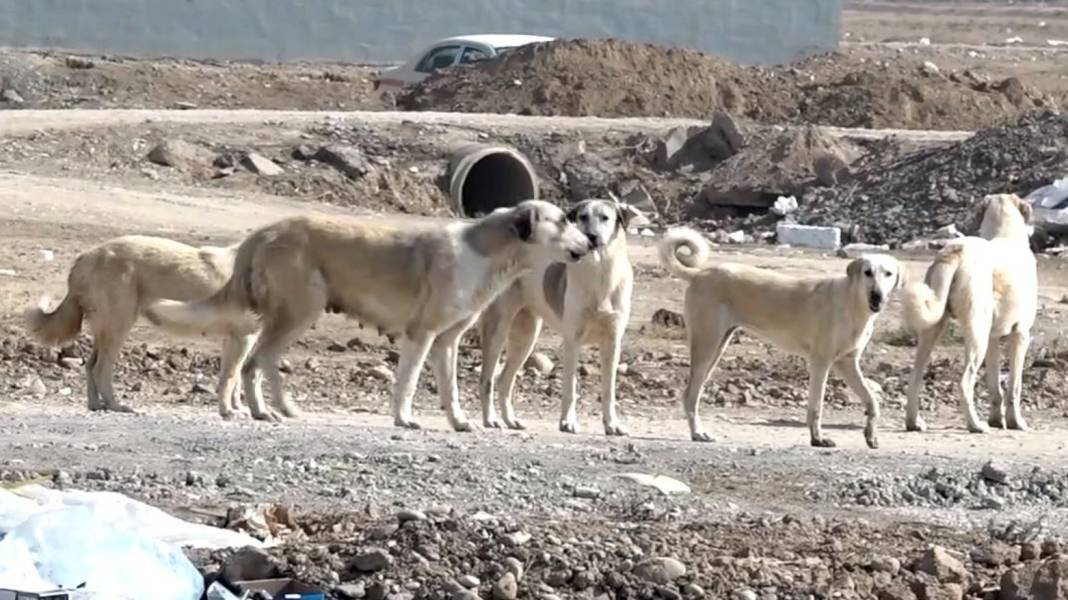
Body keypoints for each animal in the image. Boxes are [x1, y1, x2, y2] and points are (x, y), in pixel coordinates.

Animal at [24, 233, 257, 416]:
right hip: (119, 326)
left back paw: (96, 405)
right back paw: (116, 406)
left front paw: (237, 408)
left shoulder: (236, 339)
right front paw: (227, 411)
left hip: (107, 328)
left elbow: (235, 378)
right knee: (101, 369)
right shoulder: (243, 338)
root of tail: (85, 258)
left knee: (90, 365)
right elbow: (230, 377)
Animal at [144, 202, 593, 427]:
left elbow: (450, 388)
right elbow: (407, 383)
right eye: (562, 220)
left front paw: (460, 421)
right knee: (256, 363)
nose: (590, 242)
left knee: (264, 362)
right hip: (298, 311)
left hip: (293, 315)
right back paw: (261, 411)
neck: (490, 252)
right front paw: (404, 419)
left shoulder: (447, 341)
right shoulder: (421, 334)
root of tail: (264, 231)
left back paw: (284, 408)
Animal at [482, 199, 645, 433]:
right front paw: (568, 422)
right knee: (486, 379)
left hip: (526, 337)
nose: (591, 237)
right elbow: (570, 387)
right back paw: (490, 419)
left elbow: (609, 390)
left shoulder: (612, 343)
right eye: (583, 217)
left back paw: (510, 420)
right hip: (498, 330)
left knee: (504, 380)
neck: (601, 274)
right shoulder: (572, 341)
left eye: (605, 217)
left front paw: (612, 424)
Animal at [657, 226, 901, 446]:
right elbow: (816, 406)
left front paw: (871, 435)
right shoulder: (820, 363)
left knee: (692, 393)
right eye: (867, 272)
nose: (877, 296)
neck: (852, 303)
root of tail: (700, 273)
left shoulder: (847, 364)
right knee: (690, 395)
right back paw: (698, 433)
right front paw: (817, 439)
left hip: (717, 348)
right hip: (706, 347)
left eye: (888, 273)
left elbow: (872, 402)